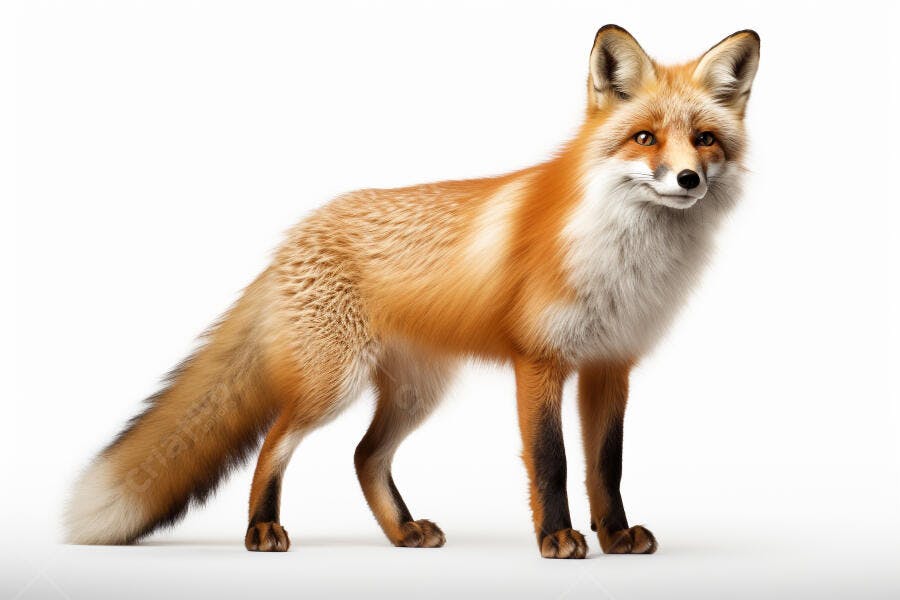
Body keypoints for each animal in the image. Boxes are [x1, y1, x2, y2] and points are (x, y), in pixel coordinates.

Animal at [65, 25, 759, 558]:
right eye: (645, 138)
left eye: (705, 139)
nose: (689, 178)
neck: (622, 258)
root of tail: (293, 237)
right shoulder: (540, 361)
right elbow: (553, 461)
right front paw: (558, 539)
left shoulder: (610, 365)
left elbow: (605, 467)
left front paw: (614, 538)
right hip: (331, 385)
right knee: (275, 440)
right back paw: (263, 528)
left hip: (416, 393)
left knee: (364, 455)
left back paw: (402, 531)